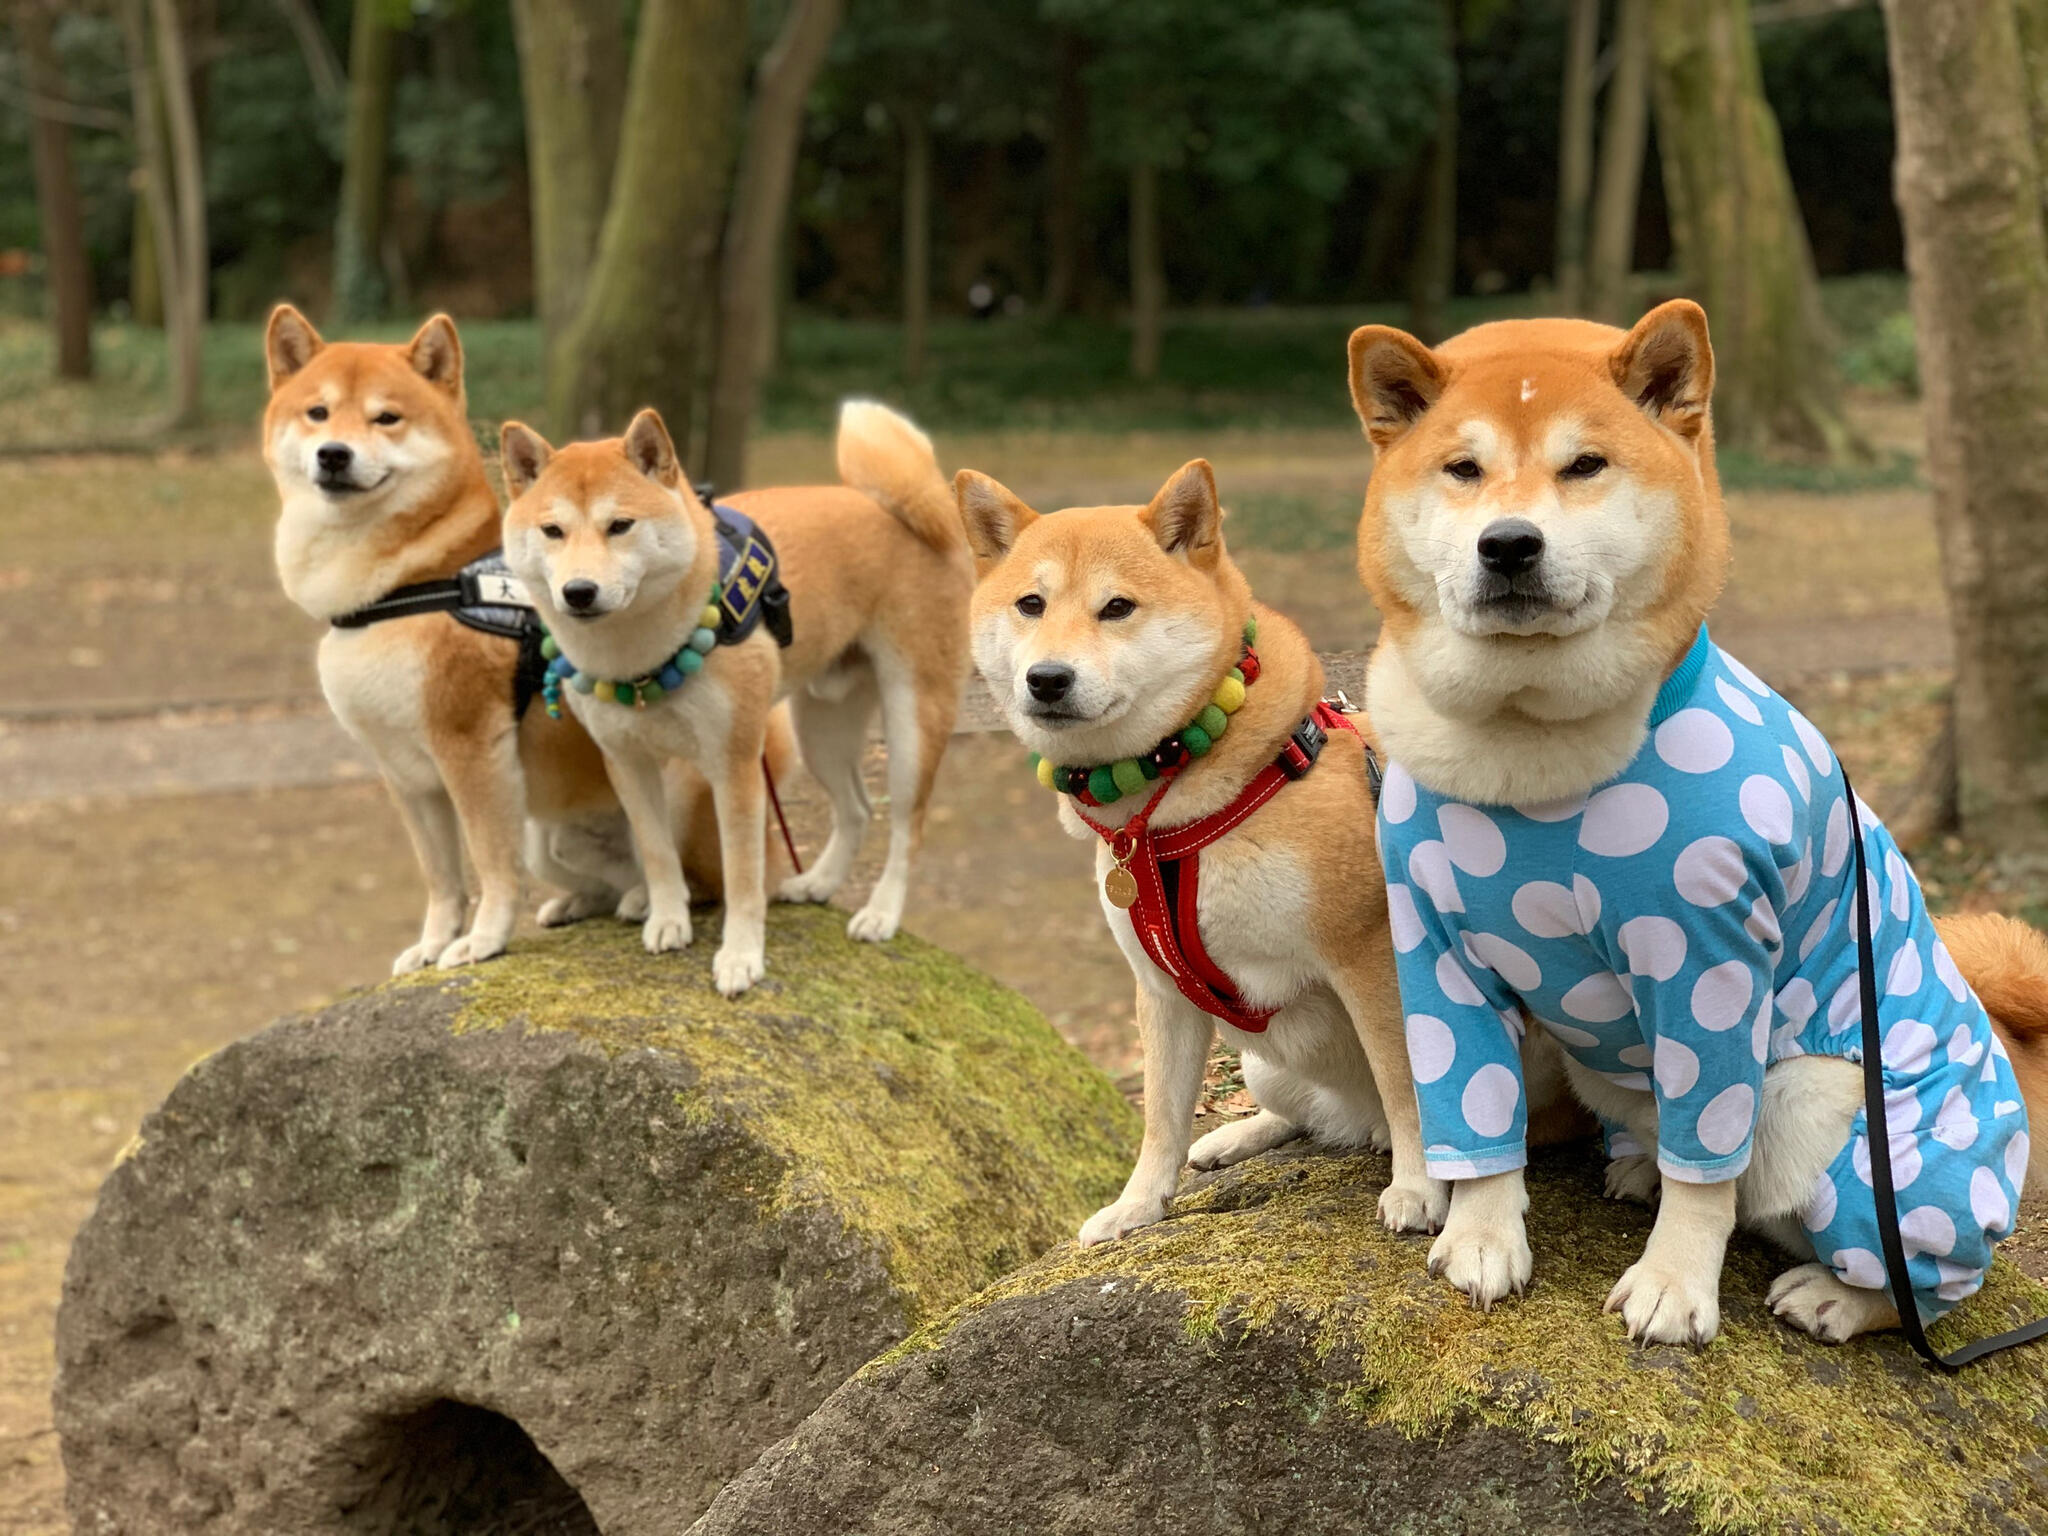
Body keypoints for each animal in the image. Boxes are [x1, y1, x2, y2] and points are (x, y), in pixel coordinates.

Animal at [262, 305, 761, 974]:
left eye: (386, 418)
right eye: (317, 413)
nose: (333, 454)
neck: (410, 584)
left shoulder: (471, 749)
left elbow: (490, 865)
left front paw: (482, 939)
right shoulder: (403, 771)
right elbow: (441, 877)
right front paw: (432, 942)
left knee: (699, 877)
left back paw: (647, 903)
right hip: (546, 836)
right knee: (610, 878)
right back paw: (587, 902)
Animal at [499, 399, 970, 999]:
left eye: (620, 526)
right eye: (553, 531)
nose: (578, 592)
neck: (637, 657)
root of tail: (899, 510)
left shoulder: (736, 762)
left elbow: (743, 876)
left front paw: (741, 956)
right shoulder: (627, 762)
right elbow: (657, 854)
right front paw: (667, 919)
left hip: (912, 724)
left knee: (908, 828)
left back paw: (881, 913)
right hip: (822, 730)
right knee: (857, 809)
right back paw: (818, 883)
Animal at [958, 456, 1597, 1253]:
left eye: (1117, 608)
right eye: (1031, 604)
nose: (1047, 678)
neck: (1170, 804)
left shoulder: (1372, 959)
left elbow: (1408, 1086)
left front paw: (1420, 1191)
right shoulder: (1161, 993)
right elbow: (1160, 1118)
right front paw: (1138, 1206)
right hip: (1263, 1065)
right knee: (1303, 1116)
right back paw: (1234, 1138)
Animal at [1351, 301, 2039, 1343]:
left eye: (1585, 465)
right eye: (1462, 469)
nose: (1508, 544)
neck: (1526, 751)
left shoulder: (1707, 968)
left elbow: (1706, 1173)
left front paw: (1675, 1284)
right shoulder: (1433, 954)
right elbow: (1476, 1125)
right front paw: (1482, 1237)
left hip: (1838, 1116)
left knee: (1917, 1276)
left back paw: (1838, 1297)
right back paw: (1634, 1164)